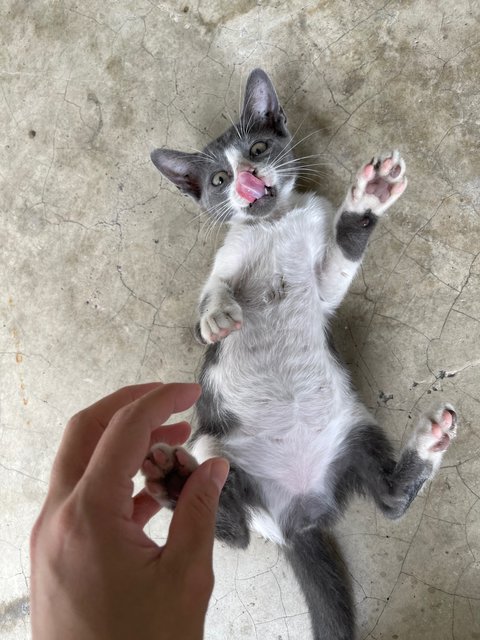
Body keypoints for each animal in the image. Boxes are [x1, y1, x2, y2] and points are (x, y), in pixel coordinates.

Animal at [145, 69, 458, 640]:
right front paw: (216, 315)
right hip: (213, 448)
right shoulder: (225, 261)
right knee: (232, 533)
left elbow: (338, 266)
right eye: (218, 179)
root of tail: (299, 515)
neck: (274, 225)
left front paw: (368, 200)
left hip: (352, 430)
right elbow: (212, 296)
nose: (247, 177)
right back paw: (175, 481)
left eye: (258, 147)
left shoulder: (325, 283)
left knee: (388, 501)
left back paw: (427, 446)